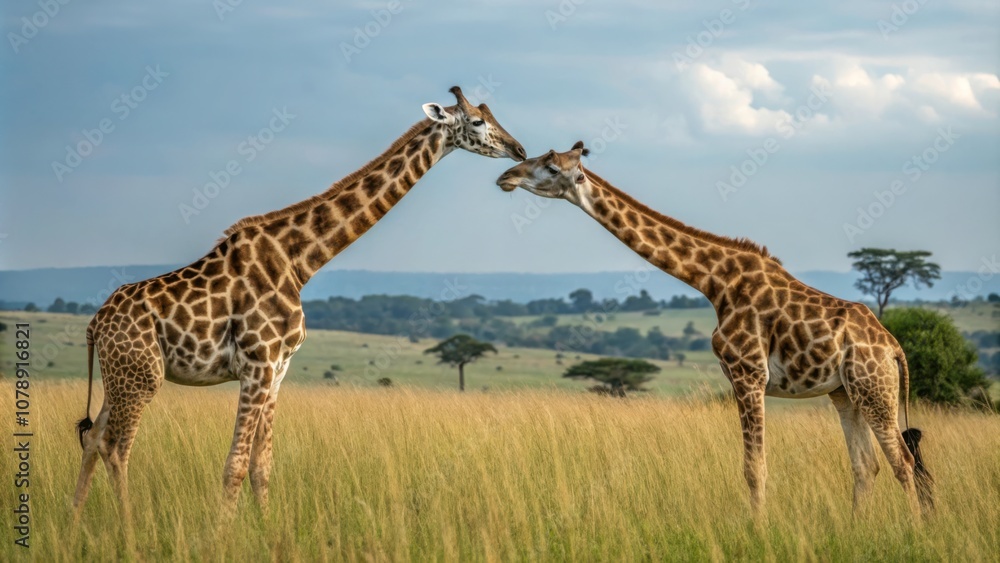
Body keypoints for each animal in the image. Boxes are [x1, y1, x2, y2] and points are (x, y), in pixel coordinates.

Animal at [72, 86, 526, 516]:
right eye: (477, 121)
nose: (519, 150)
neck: (299, 262)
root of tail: (95, 325)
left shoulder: (278, 370)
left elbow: (261, 466)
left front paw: (268, 530)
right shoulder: (257, 365)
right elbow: (234, 466)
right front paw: (222, 536)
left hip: (121, 378)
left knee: (93, 437)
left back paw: (75, 521)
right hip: (142, 377)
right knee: (117, 447)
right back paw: (131, 528)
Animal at [496, 142, 934, 516]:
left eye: (551, 167)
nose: (506, 175)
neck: (715, 283)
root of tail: (894, 349)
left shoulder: (748, 375)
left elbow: (754, 468)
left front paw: (758, 531)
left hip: (874, 390)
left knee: (903, 462)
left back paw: (913, 532)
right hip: (846, 393)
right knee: (866, 466)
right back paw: (856, 527)